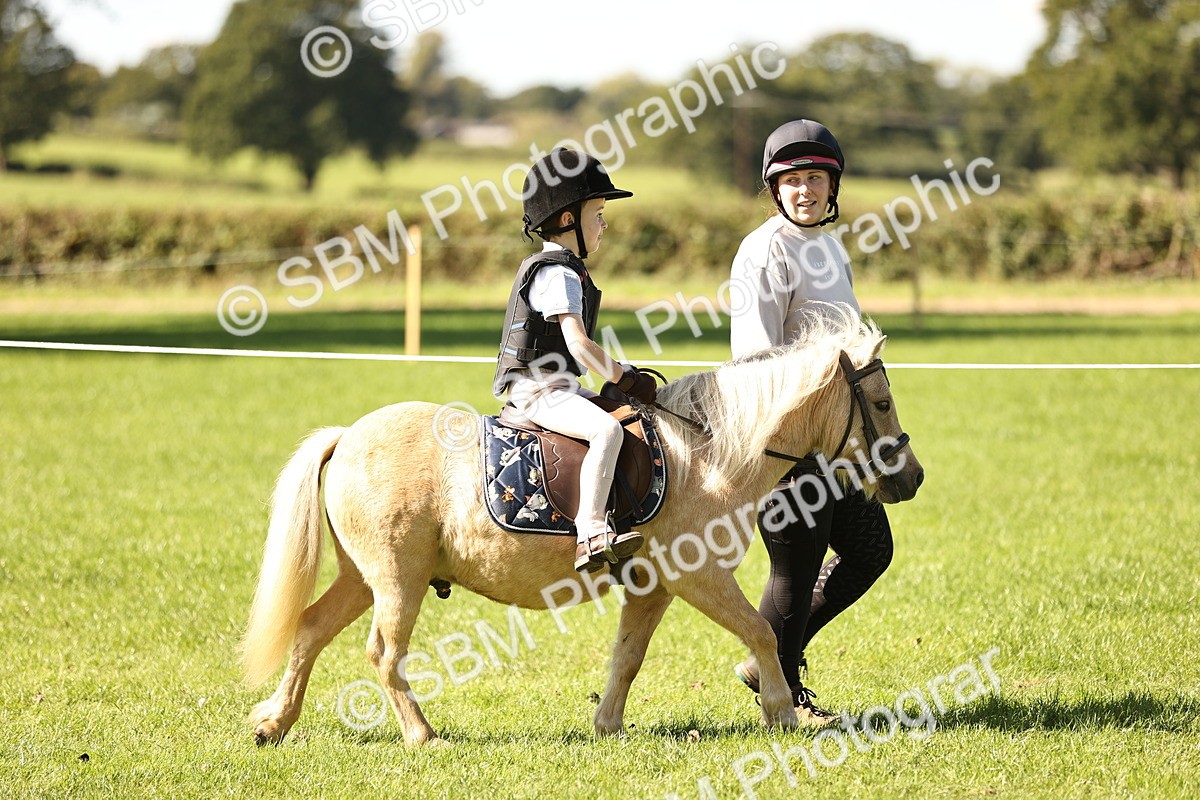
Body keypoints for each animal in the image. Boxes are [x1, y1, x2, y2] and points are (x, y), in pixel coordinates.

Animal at [242, 307, 924, 746]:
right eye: (882, 403)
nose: (912, 477)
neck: (708, 453)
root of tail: (347, 437)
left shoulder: (655, 586)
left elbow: (628, 656)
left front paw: (608, 726)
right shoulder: (699, 576)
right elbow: (759, 630)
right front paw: (782, 712)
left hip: (364, 578)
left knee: (309, 630)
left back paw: (274, 722)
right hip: (396, 581)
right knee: (384, 654)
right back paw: (421, 734)